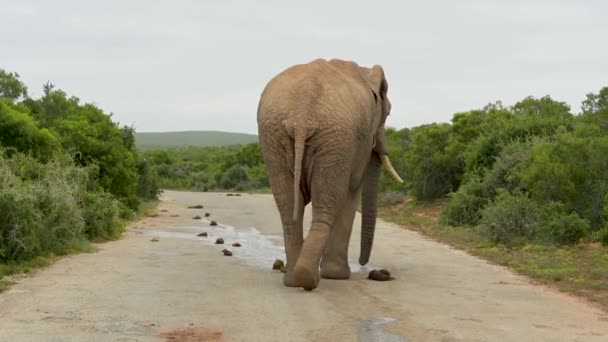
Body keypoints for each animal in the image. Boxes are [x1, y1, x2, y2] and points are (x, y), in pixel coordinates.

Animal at [254, 59, 402, 292]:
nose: (363, 264)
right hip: (334, 138)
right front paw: (337, 276)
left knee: (289, 206)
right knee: (328, 202)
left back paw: (294, 279)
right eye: (387, 114)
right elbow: (352, 190)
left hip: (277, 137)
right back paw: (310, 278)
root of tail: (303, 111)